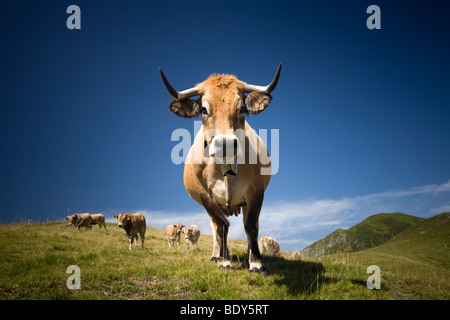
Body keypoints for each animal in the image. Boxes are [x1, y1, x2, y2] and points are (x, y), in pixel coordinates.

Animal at [159, 63, 282, 272]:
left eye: (242, 107)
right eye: (203, 109)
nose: (225, 144)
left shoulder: (256, 191)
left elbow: (251, 225)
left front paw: (256, 263)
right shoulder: (204, 195)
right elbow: (221, 226)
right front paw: (224, 261)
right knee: (215, 226)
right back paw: (216, 256)